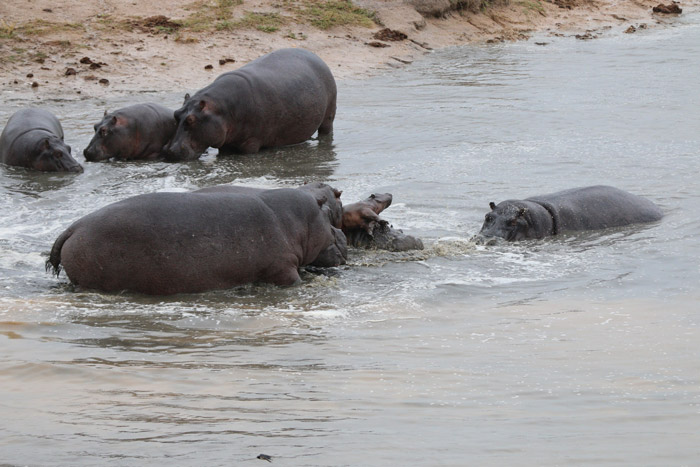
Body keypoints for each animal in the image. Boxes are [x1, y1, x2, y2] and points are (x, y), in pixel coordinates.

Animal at [165, 47, 338, 161]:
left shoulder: (251, 142)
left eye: (191, 120)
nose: (170, 151)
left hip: (328, 116)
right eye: (175, 114)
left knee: (326, 131)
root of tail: (317, 56)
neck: (220, 109)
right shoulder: (225, 143)